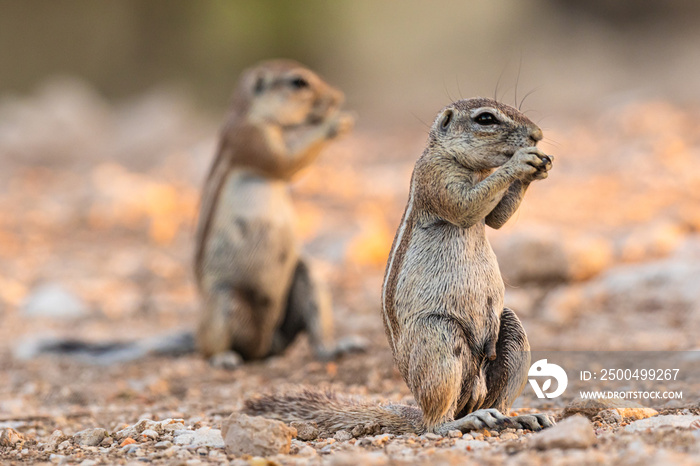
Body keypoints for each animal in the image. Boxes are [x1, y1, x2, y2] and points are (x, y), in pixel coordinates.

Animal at [194, 58, 364, 366]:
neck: (250, 112)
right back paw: (223, 358)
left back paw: (338, 346)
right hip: (222, 299)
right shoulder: (250, 138)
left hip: (306, 279)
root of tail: (264, 346)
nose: (338, 98)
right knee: (207, 347)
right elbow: (285, 161)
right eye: (299, 82)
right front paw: (335, 123)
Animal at [243, 96, 556, 436]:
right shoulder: (435, 178)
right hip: (438, 336)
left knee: (496, 400)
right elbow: (465, 206)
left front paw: (539, 167)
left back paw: (518, 418)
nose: (538, 135)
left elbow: (497, 219)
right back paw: (468, 420)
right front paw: (521, 163)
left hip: (510, 332)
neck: (469, 166)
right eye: (486, 119)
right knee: (436, 422)